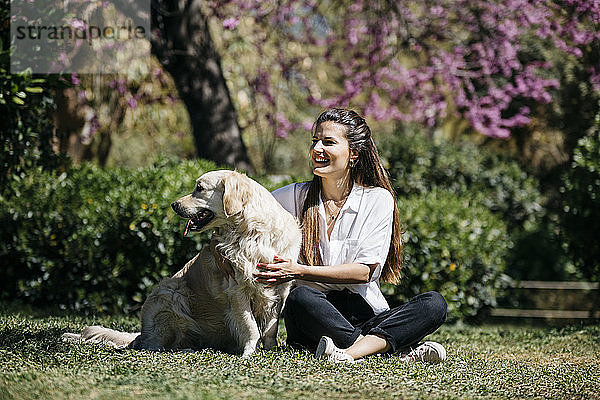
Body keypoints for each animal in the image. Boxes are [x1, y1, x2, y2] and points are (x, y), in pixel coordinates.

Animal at [62, 170, 300, 358]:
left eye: (199, 188)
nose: (173, 205)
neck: (251, 232)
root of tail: (141, 333)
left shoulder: (279, 289)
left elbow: (270, 328)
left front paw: (269, 350)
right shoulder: (237, 287)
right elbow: (250, 325)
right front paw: (250, 352)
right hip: (170, 293)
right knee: (154, 346)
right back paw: (184, 348)